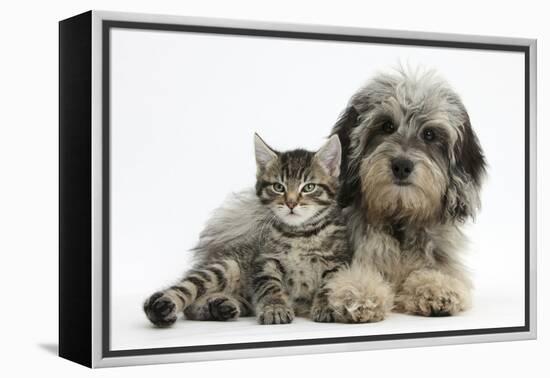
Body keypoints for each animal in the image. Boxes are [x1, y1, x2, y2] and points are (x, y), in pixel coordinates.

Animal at [252, 134, 352, 324]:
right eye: (278, 187)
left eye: (309, 187)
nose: (291, 203)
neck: (299, 233)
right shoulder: (267, 259)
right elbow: (269, 284)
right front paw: (275, 307)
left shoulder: (337, 260)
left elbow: (331, 284)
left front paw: (326, 305)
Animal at [326, 68, 490, 322]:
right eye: (386, 126)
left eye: (430, 134)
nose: (402, 165)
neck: (399, 220)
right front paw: (359, 293)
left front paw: (437, 288)